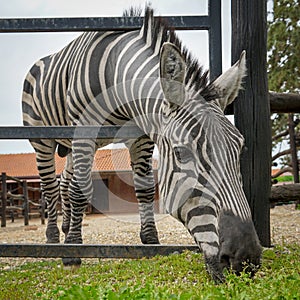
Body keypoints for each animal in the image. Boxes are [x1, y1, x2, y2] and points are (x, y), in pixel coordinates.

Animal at [21, 7, 262, 282]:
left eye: (240, 150)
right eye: (182, 153)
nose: (245, 258)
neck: (116, 78)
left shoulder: (141, 137)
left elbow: (145, 188)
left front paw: (150, 241)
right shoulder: (84, 130)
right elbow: (81, 189)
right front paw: (73, 252)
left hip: (69, 146)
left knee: (63, 183)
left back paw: (65, 227)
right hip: (41, 139)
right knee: (50, 187)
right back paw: (53, 239)